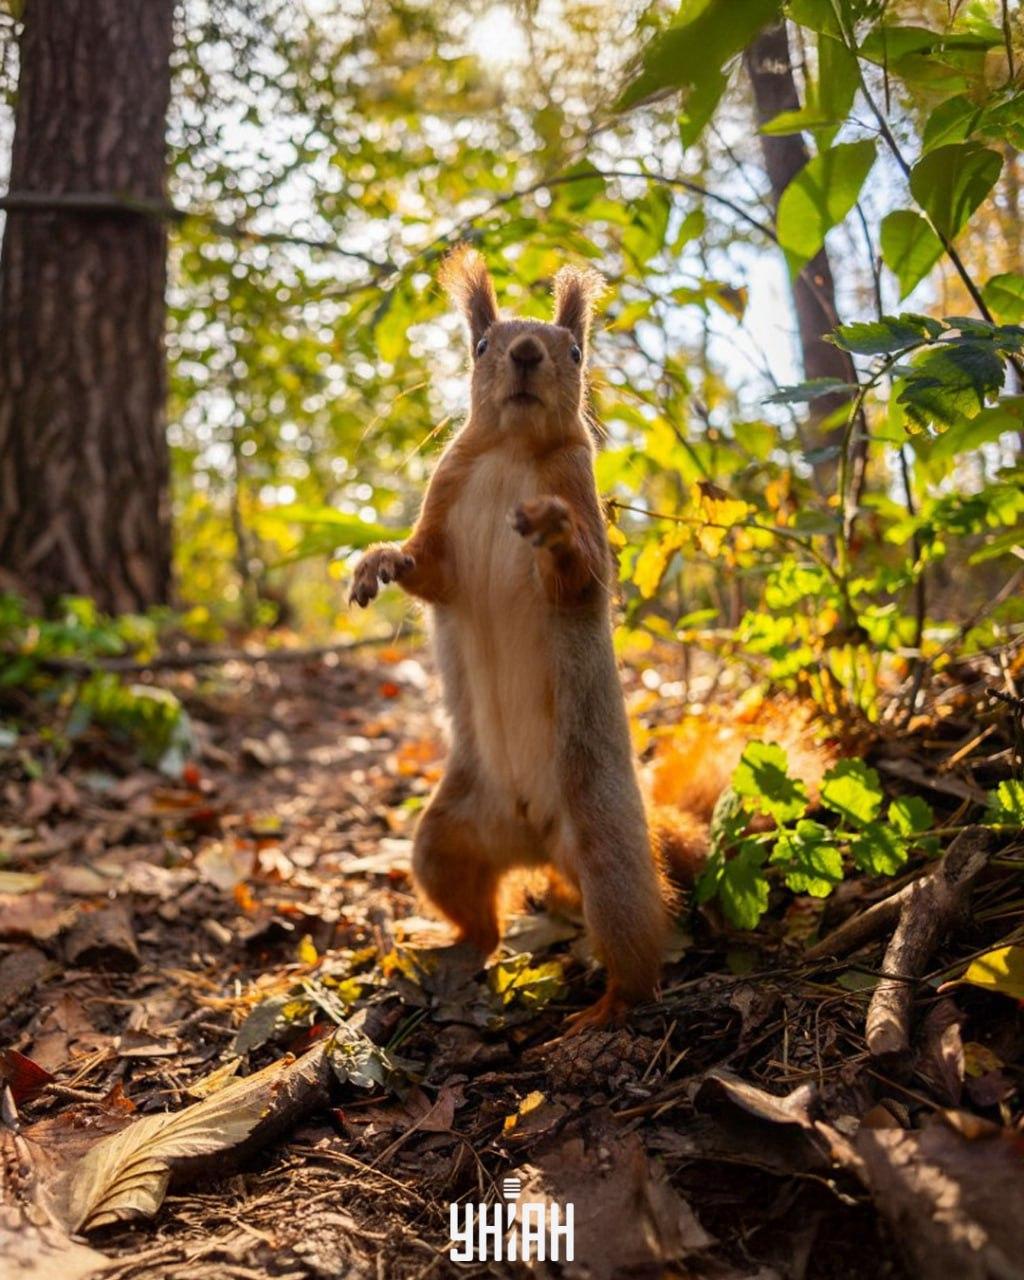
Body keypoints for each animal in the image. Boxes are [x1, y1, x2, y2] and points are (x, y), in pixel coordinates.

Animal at [353, 249, 670, 1029]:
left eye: (575, 351)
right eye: (482, 345)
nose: (527, 352)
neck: (510, 453)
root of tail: (536, 843)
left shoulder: (579, 493)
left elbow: (579, 579)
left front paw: (550, 529)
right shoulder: (446, 502)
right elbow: (430, 573)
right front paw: (378, 562)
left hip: (604, 850)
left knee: (634, 942)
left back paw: (607, 1009)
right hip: (445, 838)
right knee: (480, 917)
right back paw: (449, 946)